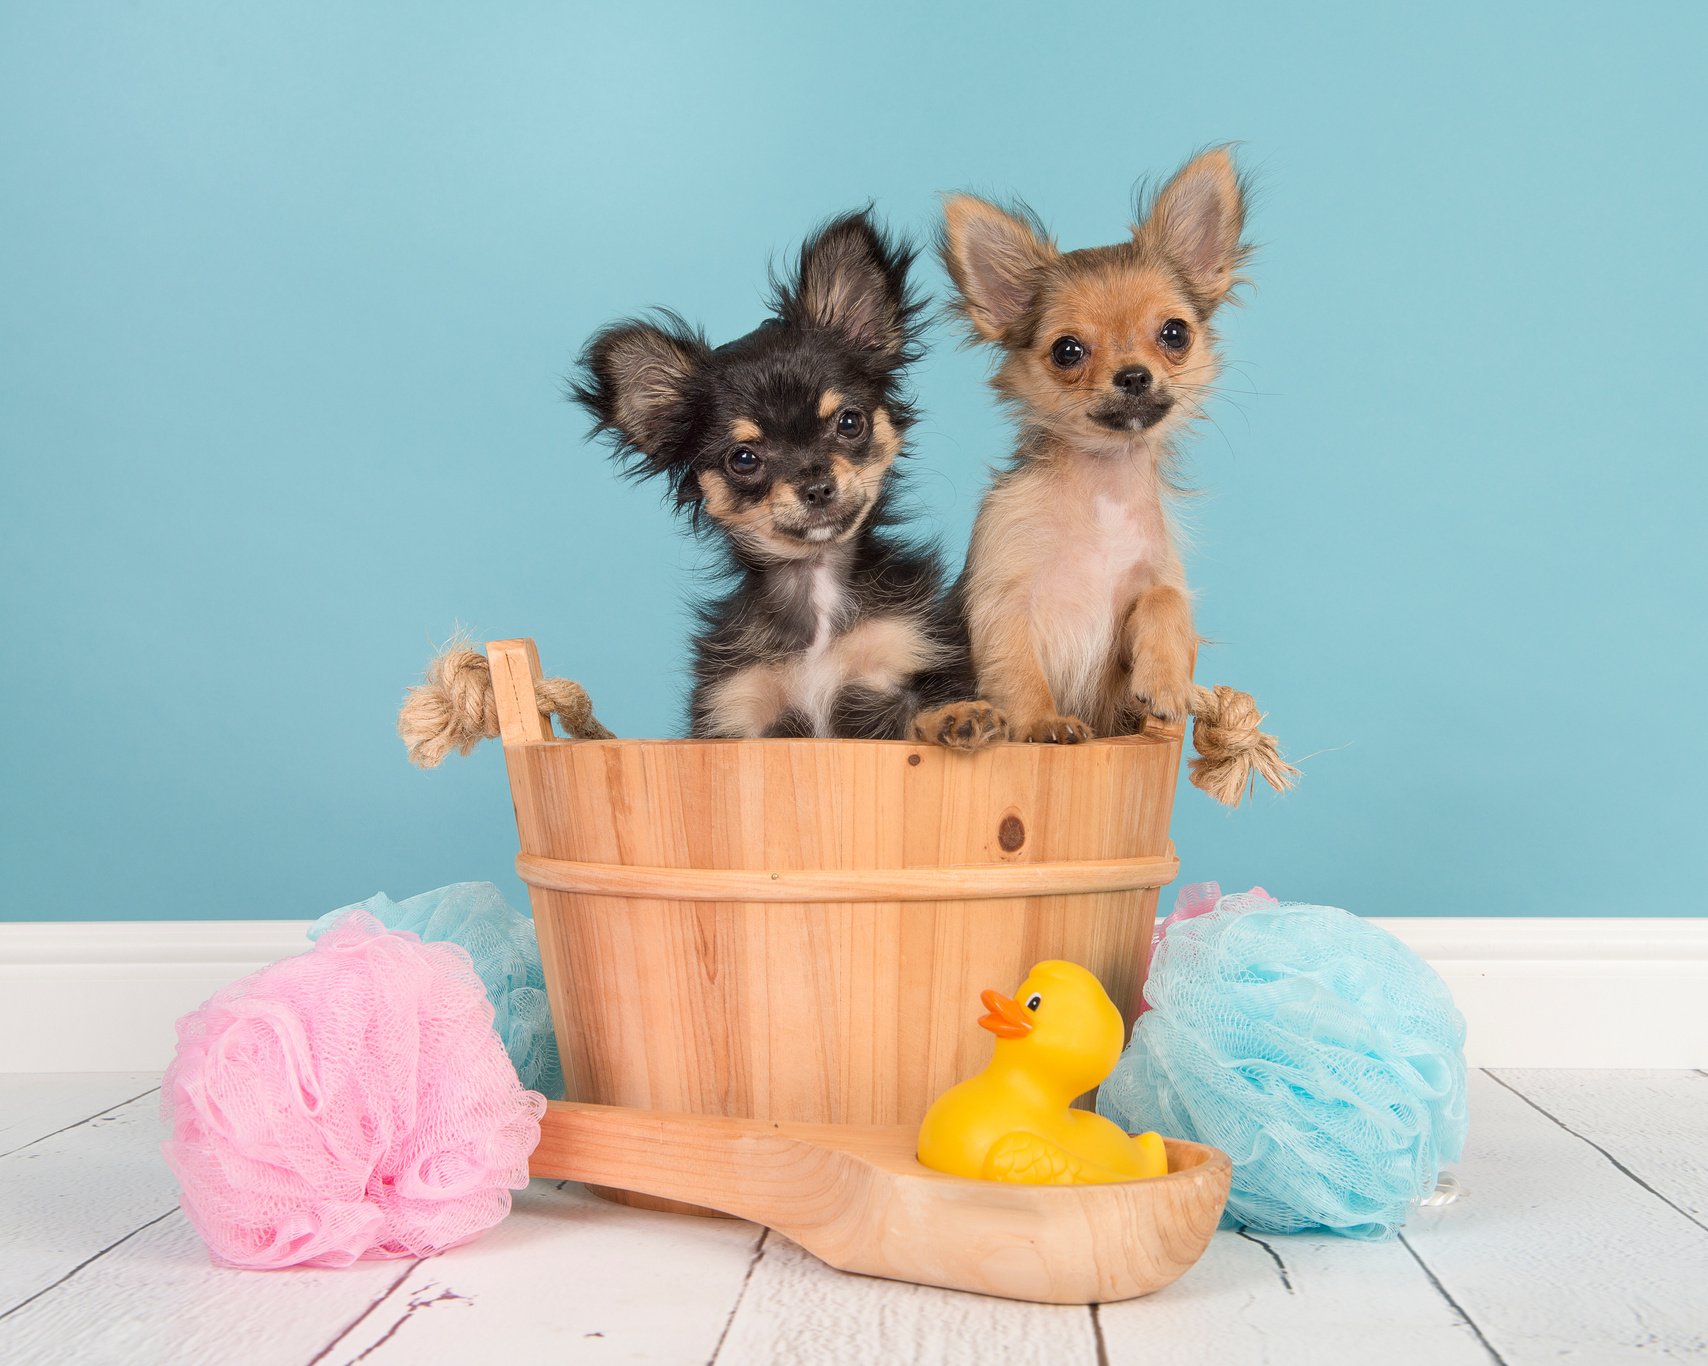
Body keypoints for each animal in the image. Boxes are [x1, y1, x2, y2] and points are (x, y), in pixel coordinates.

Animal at [573, 210, 983, 737]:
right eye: (744, 459)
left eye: (849, 422)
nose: (817, 487)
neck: (816, 590)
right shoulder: (738, 714)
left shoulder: (910, 654)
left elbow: (933, 705)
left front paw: (960, 718)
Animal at [915, 149, 1250, 747]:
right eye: (1067, 351)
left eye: (1175, 333)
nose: (1134, 376)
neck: (1103, 492)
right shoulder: (1001, 596)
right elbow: (1018, 668)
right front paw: (1043, 724)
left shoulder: (1157, 571)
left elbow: (1168, 600)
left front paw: (1164, 682)